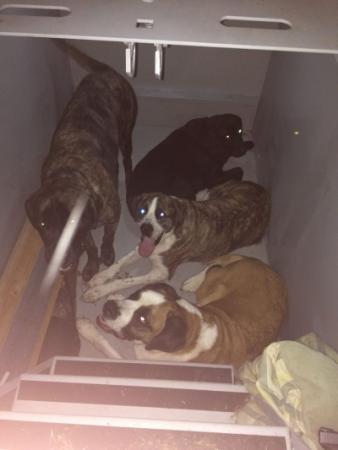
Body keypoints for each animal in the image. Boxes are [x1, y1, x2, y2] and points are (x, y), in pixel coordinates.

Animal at [25, 41, 137, 282]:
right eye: (42, 224)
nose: (61, 262)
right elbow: (89, 245)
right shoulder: (86, 228)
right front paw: (92, 264)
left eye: (71, 225)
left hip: (126, 133)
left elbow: (106, 237)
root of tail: (104, 71)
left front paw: (107, 253)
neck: (68, 171)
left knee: (127, 158)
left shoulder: (112, 216)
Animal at [77, 255, 288, 368]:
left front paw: (86, 329)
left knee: (214, 268)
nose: (109, 308)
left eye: (142, 319)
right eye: (136, 295)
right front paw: (111, 293)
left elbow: (108, 348)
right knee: (215, 266)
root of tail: (265, 266)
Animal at [83, 180, 270, 302]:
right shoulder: (143, 246)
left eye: (162, 214)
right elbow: (120, 262)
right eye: (142, 210)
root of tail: (264, 191)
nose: (146, 228)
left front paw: (99, 291)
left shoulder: (161, 273)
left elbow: (125, 280)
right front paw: (101, 276)